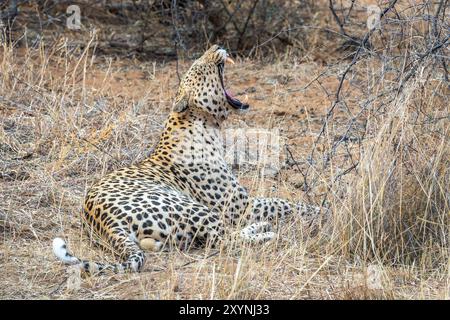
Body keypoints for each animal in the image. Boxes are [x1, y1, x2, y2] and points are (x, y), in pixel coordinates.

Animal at [53, 44, 326, 276]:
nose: (217, 46)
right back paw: (266, 232)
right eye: (199, 66)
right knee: (225, 239)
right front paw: (322, 209)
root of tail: (104, 221)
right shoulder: (240, 206)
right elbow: (283, 203)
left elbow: (280, 201)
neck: (206, 125)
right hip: (193, 208)